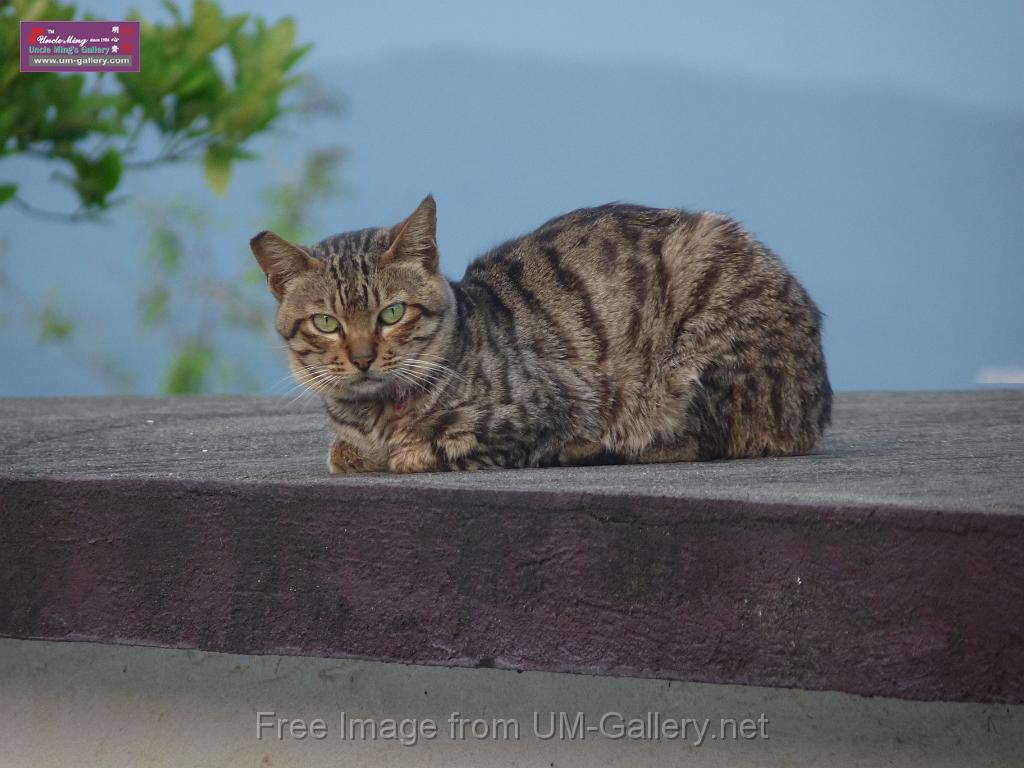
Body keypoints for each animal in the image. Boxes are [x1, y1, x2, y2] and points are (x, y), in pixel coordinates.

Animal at [249, 195, 831, 473]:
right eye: (327, 323)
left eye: (392, 313)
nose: (364, 356)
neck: (374, 415)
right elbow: (342, 451)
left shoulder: (535, 412)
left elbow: (428, 446)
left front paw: (402, 449)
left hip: (702, 363)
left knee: (699, 438)